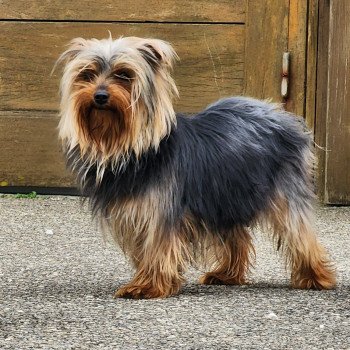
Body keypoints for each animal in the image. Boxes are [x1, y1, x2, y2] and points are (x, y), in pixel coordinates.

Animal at [56, 36, 334, 298]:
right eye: (87, 74)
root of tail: (284, 116)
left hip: (282, 189)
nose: (99, 96)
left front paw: (146, 286)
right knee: (237, 235)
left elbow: (157, 246)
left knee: (299, 231)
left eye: (124, 74)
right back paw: (227, 274)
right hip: (225, 193)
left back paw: (316, 277)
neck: (131, 149)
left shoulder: (161, 210)